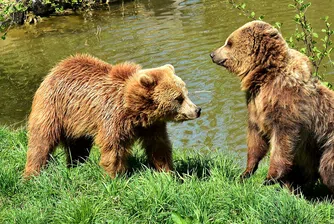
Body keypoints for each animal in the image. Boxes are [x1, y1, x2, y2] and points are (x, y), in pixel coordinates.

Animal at [24, 54, 201, 178]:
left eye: (186, 93)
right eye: (178, 98)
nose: (197, 110)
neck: (136, 110)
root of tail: (55, 69)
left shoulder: (152, 126)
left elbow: (159, 146)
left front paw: (167, 172)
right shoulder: (113, 117)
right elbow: (113, 148)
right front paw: (114, 176)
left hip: (77, 122)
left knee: (78, 146)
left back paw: (76, 165)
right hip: (53, 108)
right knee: (41, 141)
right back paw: (32, 174)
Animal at [211, 20, 334, 192]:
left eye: (229, 43)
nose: (212, 54)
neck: (264, 77)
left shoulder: (287, 106)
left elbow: (283, 141)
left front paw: (269, 178)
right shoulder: (255, 105)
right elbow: (256, 138)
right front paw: (246, 171)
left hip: (327, 144)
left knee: (326, 169)